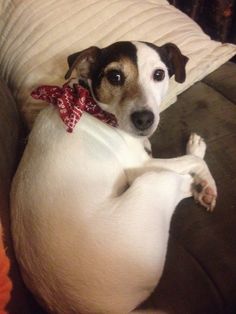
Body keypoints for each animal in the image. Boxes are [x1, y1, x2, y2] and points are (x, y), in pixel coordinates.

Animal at [11, 41, 218, 314]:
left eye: (159, 74)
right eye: (115, 76)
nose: (144, 119)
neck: (89, 106)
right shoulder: (140, 166)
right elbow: (194, 162)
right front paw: (207, 181)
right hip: (152, 185)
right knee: (178, 180)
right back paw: (196, 181)